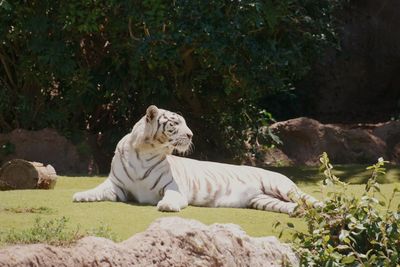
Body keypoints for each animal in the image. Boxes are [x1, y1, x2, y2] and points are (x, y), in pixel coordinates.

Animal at [72, 105, 322, 216]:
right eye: (175, 123)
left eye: (185, 124)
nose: (192, 135)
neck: (145, 151)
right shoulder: (117, 186)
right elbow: (97, 190)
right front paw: (80, 195)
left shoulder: (173, 187)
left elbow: (171, 197)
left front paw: (167, 206)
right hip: (263, 200)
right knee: (295, 206)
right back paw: (299, 213)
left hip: (282, 187)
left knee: (310, 200)